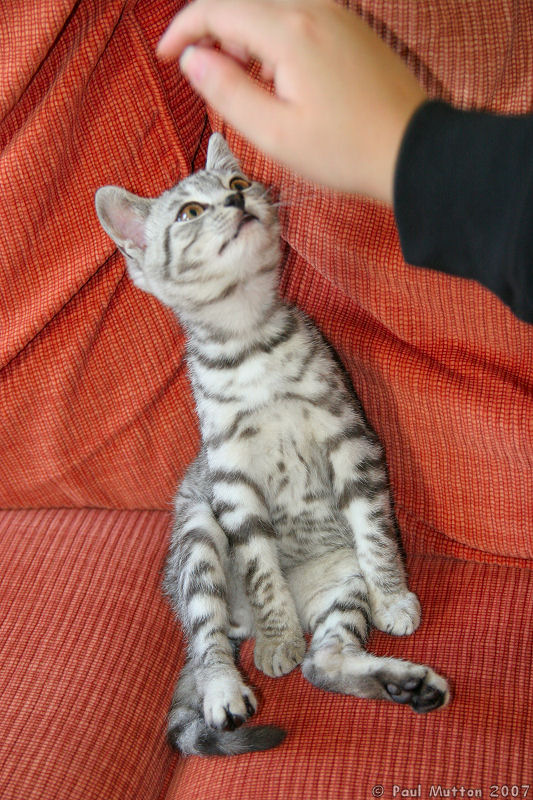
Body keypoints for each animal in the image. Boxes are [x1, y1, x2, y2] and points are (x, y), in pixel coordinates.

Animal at [95, 131, 448, 756]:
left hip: (341, 582)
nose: (237, 201)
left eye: (237, 183)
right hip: (196, 536)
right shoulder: (231, 476)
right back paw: (228, 682)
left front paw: (394, 596)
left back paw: (405, 684)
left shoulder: (347, 434)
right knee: (208, 635)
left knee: (325, 661)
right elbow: (260, 566)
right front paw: (278, 636)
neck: (249, 344)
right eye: (190, 212)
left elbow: (375, 529)